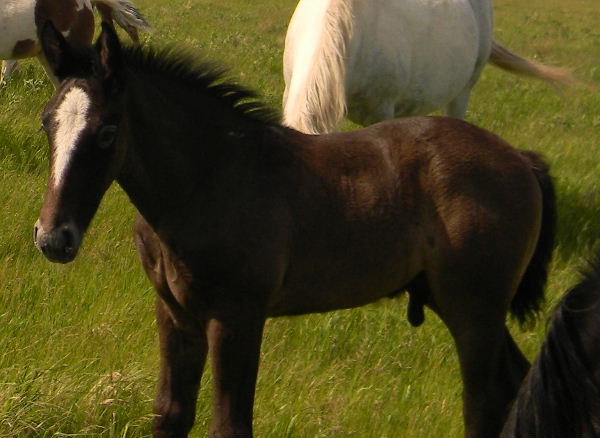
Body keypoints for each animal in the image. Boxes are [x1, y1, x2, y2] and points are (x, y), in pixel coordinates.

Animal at [33, 22, 557, 438]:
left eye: (106, 131)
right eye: (46, 123)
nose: (53, 237)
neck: (209, 179)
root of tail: (520, 159)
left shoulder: (237, 317)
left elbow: (230, 425)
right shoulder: (175, 312)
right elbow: (171, 414)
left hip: (474, 309)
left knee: (483, 403)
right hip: (457, 303)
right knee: (517, 382)